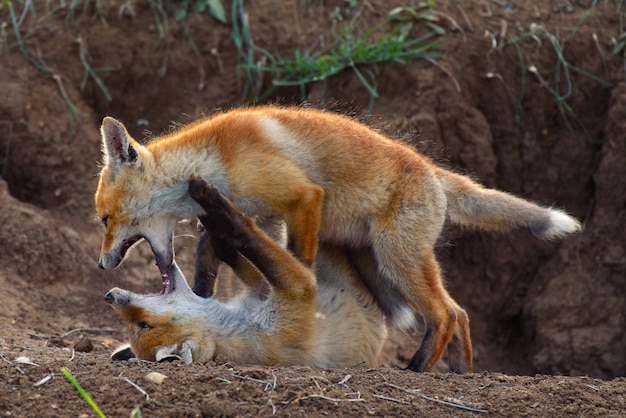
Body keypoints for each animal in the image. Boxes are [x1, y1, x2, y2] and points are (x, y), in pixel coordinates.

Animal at [105, 178, 388, 368]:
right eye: (141, 325)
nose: (110, 296)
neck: (244, 325)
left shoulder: (258, 292)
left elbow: (238, 257)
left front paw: (216, 234)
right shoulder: (297, 293)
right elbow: (247, 237)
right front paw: (218, 210)